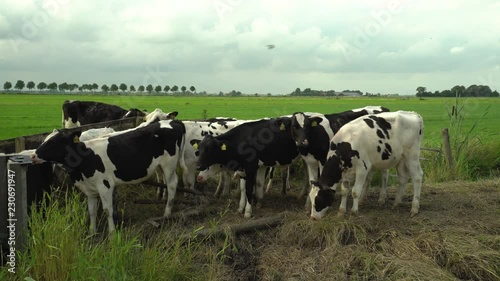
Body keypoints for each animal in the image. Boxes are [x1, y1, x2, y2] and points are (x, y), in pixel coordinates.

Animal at [31, 120, 188, 232]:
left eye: (53, 142)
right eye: (44, 140)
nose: (33, 155)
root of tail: (174, 121)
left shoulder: (104, 185)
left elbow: (108, 210)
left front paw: (112, 234)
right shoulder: (90, 189)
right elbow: (92, 211)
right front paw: (92, 232)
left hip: (169, 164)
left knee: (172, 184)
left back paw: (167, 213)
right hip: (160, 165)